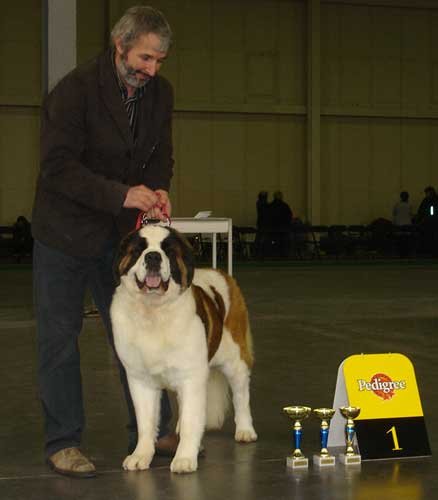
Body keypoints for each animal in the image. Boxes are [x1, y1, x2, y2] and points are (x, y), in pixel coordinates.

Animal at [110, 224, 257, 474]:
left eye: (168, 251)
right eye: (138, 250)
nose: (152, 256)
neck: (153, 312)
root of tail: (222, 273)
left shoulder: (191, 377)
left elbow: (191, 420)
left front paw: (185, 459)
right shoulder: (140, 379)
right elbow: (145, 421)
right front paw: (141, 455)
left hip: (234, 360)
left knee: (241, 394)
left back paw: (245, 430)